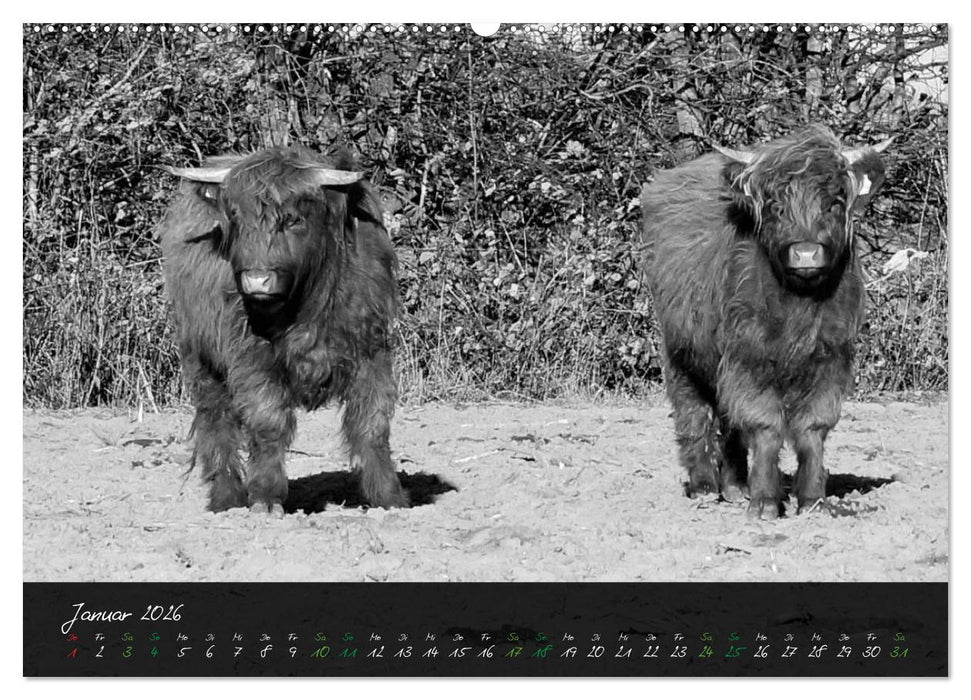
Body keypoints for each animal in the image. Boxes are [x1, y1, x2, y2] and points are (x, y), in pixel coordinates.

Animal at [160, 145, 409, 514]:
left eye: (294, 219)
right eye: (235, 217)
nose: (257, 280)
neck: (307, 305)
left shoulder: (371, 350)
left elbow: (372, 422)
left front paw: (390, 497)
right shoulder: (252, 358)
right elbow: (268, 422)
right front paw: (266, 497)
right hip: (200, 359)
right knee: (216, 421)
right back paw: (226, 499)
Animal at [640, 125, 892, 520]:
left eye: (834, 203)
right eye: (776, 206)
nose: (806, 253)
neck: (798, 306)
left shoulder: (831, 357)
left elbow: (813, 428)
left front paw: (812, 500)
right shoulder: (749, 358)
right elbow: (765, 426)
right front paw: (765, 503)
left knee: (728, 420)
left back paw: (734, 486)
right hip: (681, 351)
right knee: (694, 413)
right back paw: (704, 486)